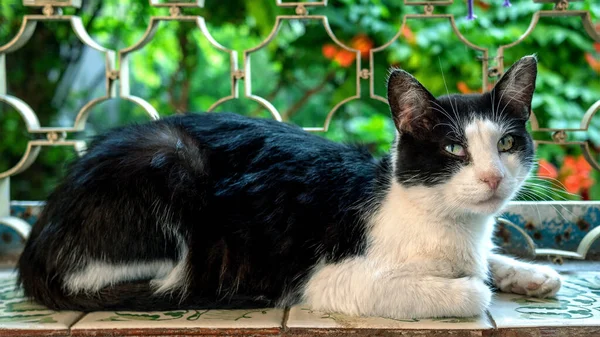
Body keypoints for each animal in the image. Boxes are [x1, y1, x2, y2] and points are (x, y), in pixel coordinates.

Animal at [18, 55, 564, 318]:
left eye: (507, 143)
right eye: (453, 149)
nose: (494, 177)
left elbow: (486, 261)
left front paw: (529, 274)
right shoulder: (329, 277)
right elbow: (471, 290)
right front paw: (477, 284)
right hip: (173, 161)